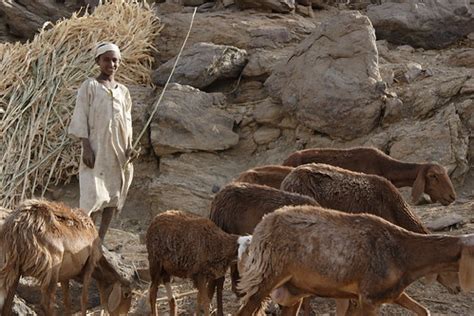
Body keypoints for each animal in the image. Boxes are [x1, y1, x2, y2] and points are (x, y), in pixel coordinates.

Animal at [0, 200, 131, 316]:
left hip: (14, 266)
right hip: (52, 268)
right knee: (46, 304)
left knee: (7, 303)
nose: (123, 314)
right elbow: (84, 299)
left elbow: (67, 302)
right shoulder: (91, 263)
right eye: (126, 294)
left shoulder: (65, 276)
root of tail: (18, 228)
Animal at [237, 205, 474, 316]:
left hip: (293, 290)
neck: (403, 253)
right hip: (265, 276)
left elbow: (423, 310)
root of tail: (261, 226)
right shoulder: (368, 297)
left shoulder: (384, 293)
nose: (458, 288)